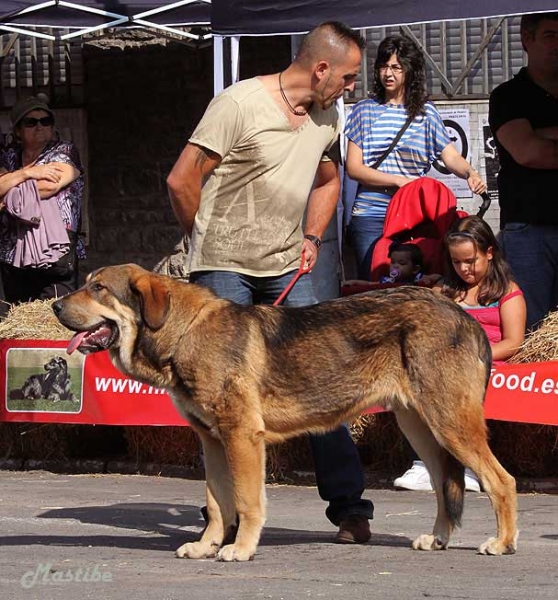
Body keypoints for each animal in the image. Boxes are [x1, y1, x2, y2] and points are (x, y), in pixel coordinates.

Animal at [53, 264, 520, 560]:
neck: (184, 331)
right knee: (444, 486)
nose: (56, 307)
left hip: (451, 424)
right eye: (87, 284)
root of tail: (464, 316)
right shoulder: (212, 442)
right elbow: (218, 504)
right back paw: (438, 539)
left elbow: (245, 502)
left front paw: (240, 549)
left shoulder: (242, 436)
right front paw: (207, 545)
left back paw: (502, 542)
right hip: (421, 428)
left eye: (99, 288)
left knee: (501, 481)